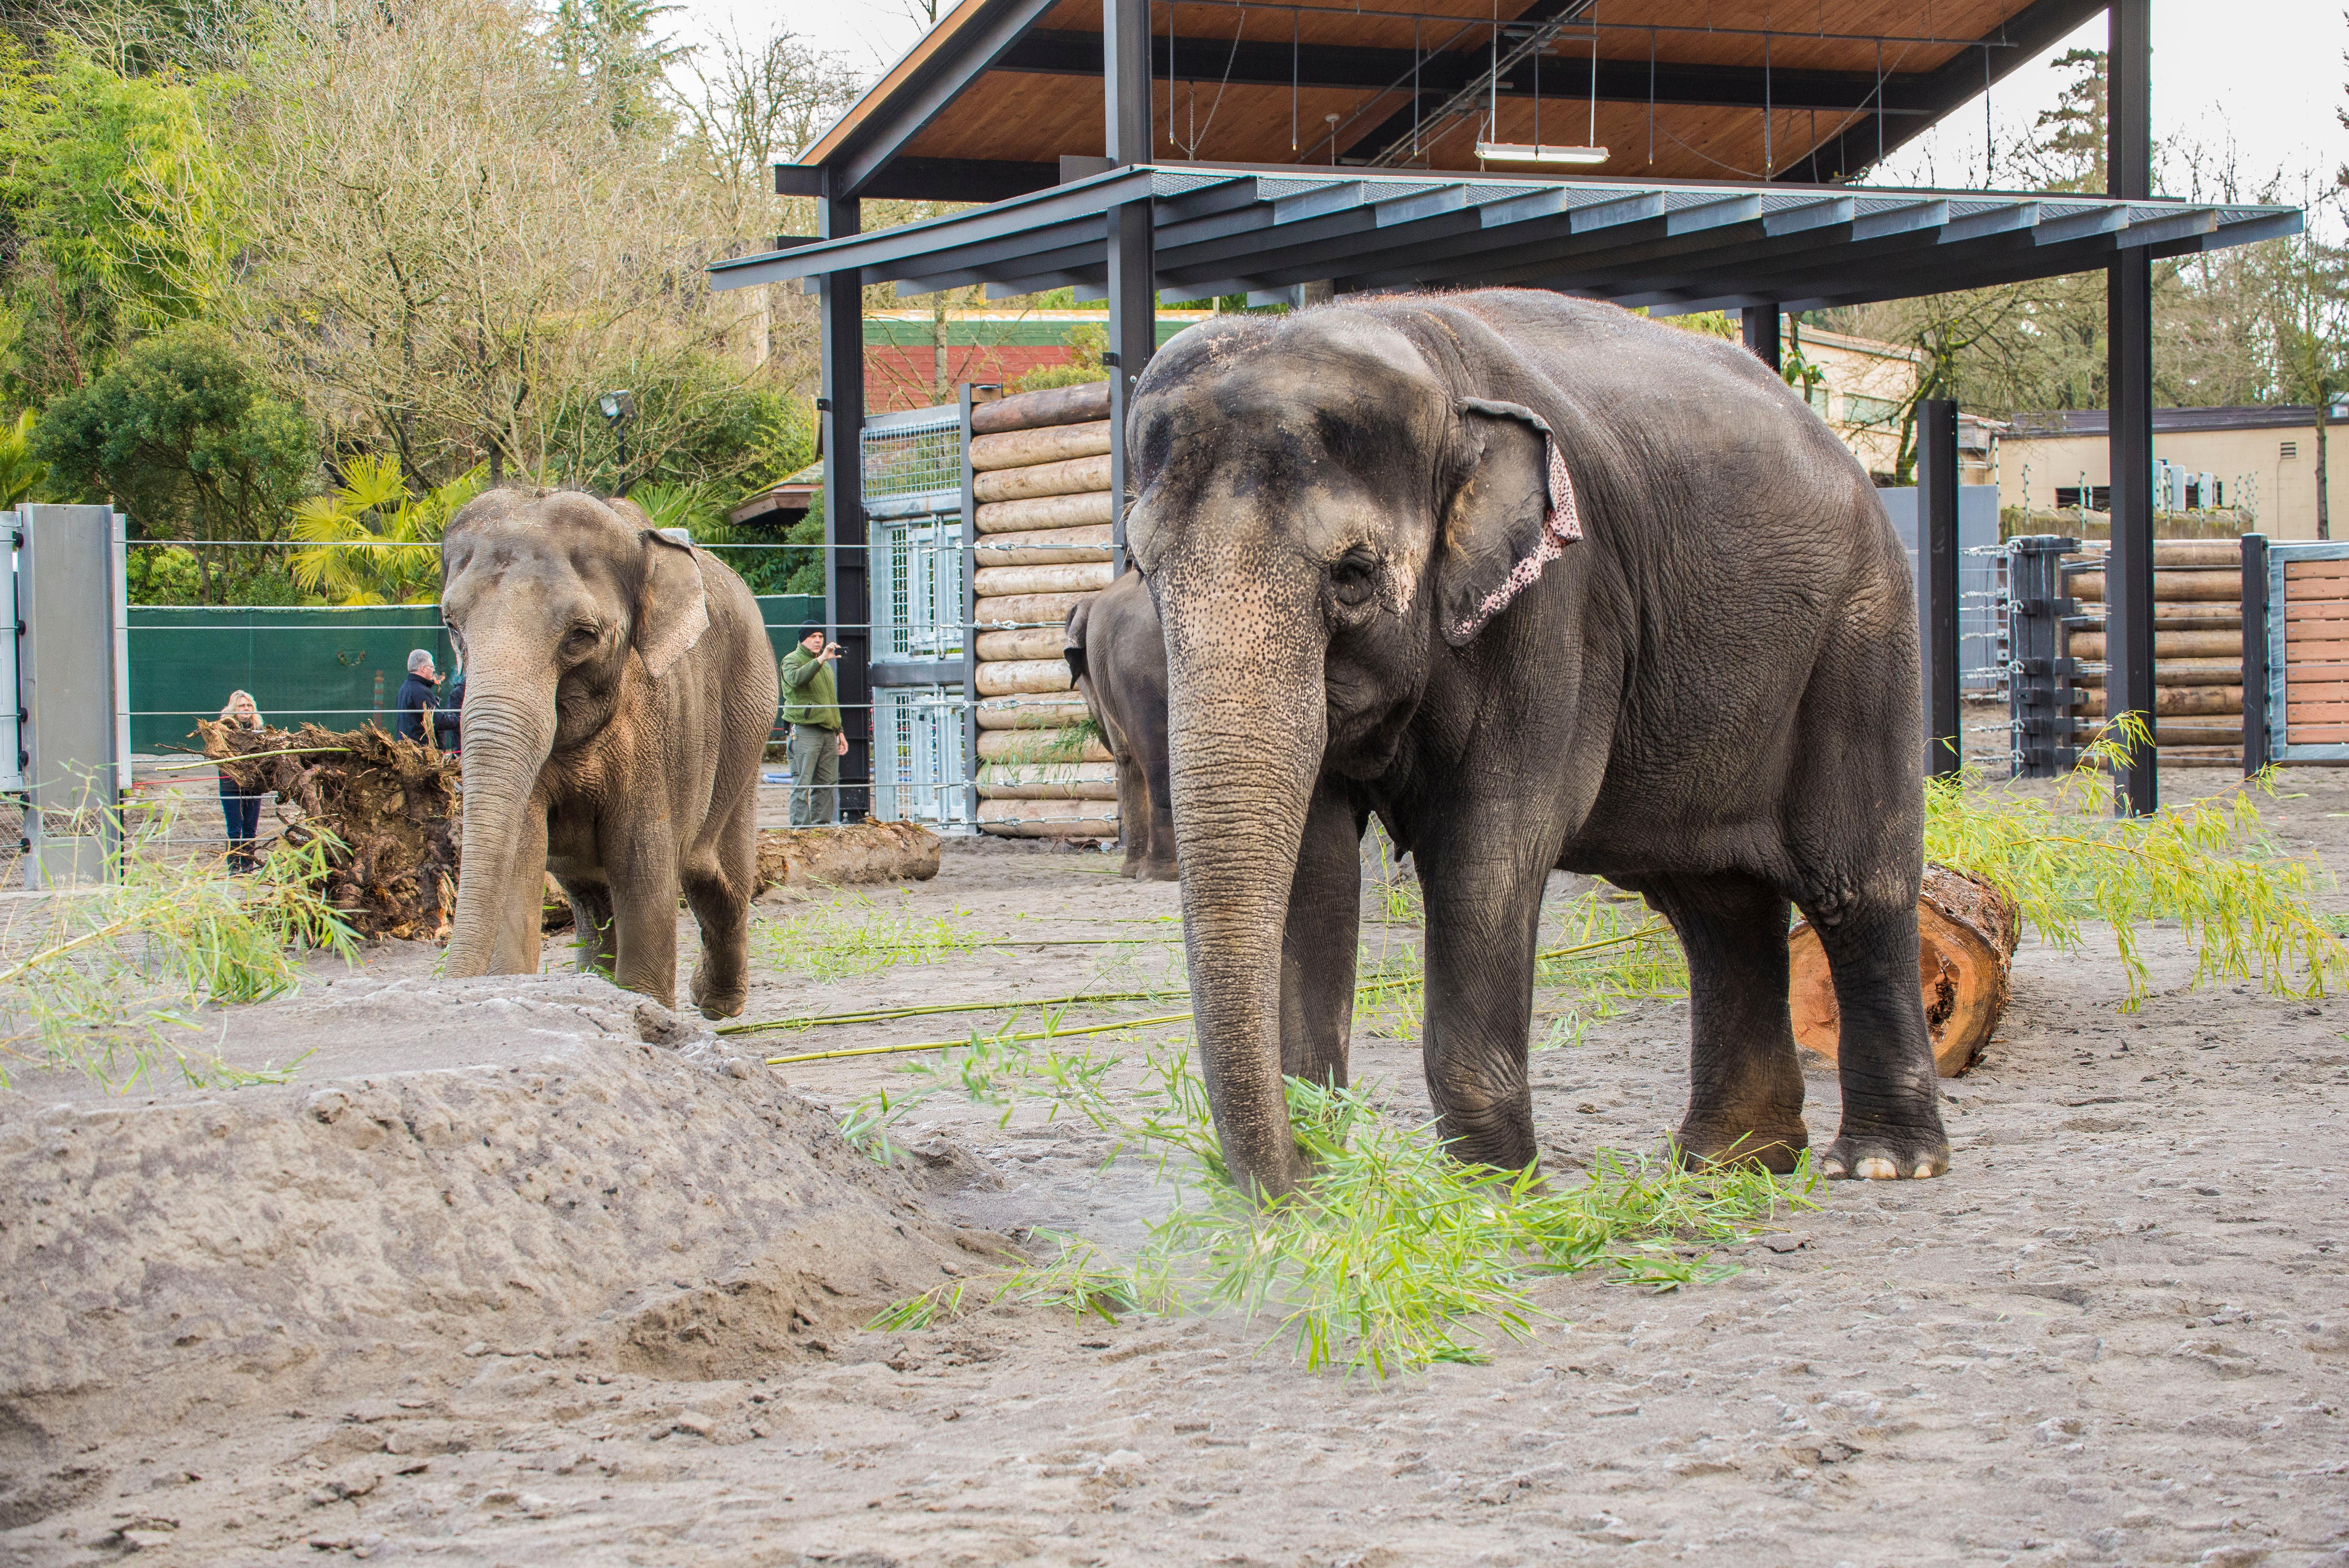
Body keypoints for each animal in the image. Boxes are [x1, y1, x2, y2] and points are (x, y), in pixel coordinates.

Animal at [1123, 291, 1945, 1202]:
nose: (1298, 1179)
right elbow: (1315, 862)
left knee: (1855, 888)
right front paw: (1336, 1188)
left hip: (1861, 635)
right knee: (1717, 909)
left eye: (1354, 575)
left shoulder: (1558, 608)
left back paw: (1881, 1163)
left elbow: (1493, 848)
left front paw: (1491, 1198)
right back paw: (1728, 1165)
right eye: (1144, 571)